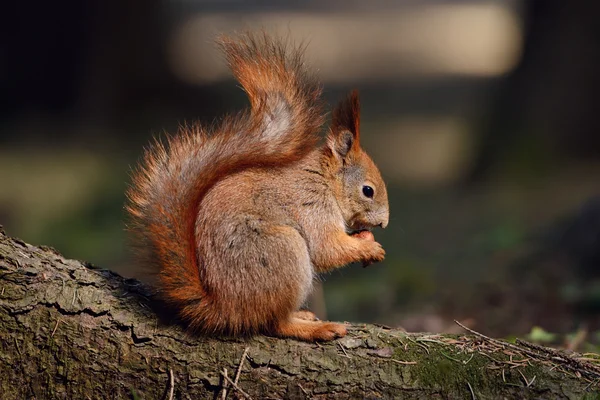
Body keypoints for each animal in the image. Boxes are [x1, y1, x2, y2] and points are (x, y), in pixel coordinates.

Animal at [126, 32, 390, 342]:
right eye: (368, 190)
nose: (384, 223)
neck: (324, 181)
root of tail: (224, 308)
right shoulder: (312, 205)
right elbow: (327, 248)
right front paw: (370, 248)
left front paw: (366, 240)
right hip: (282, 251)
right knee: (275, 323)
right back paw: (316, 328)